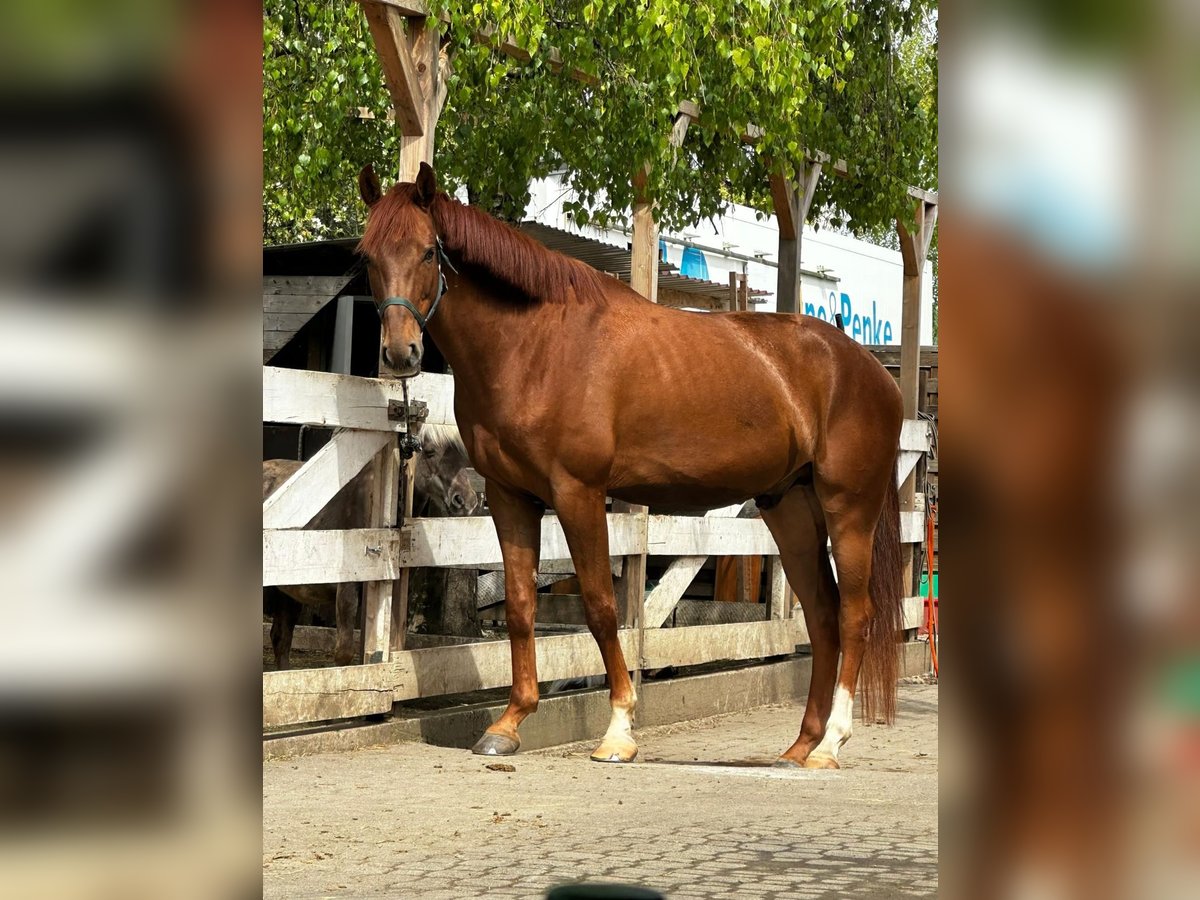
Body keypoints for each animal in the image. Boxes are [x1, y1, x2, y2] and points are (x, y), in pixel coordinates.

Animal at [352, 162, 902, 768]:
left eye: (429, 252)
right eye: (368, 256)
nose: (400, 354)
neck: (535, 346)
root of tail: (873, 371)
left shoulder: (578, 493)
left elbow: (599, 606)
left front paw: (618, 730)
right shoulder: (508, 495)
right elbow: (520, 605)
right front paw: (509, 724)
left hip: (848, 509)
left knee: (854, 615)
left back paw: (830, 744)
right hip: (790, 508)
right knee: (822, 616)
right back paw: (799, 746)